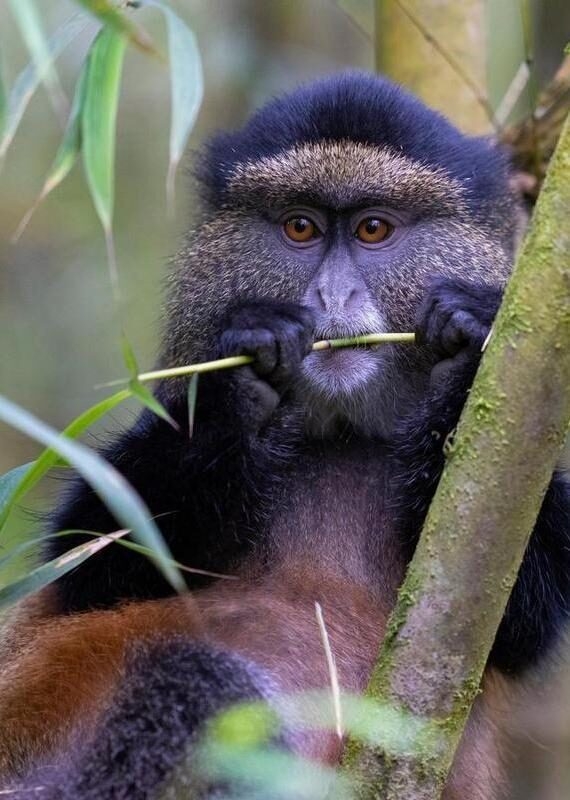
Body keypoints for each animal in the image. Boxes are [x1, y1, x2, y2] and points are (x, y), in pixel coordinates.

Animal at [1, 71, 569, 799]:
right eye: (301, 226)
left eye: (373, 228)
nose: (332, 296)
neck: (341, 438)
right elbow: (94, 559)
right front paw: (249, 369)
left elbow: (519, 612)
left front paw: (466, 346)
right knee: (197, 681)